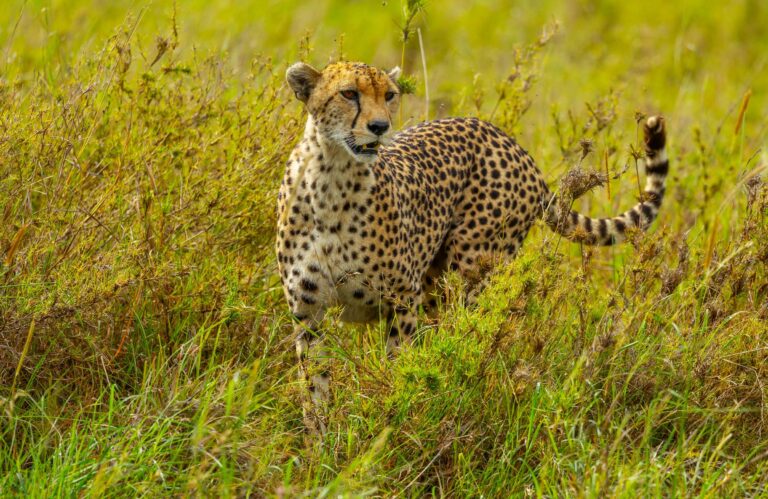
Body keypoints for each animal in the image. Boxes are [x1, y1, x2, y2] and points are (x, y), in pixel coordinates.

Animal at [276, 61, 669, 432]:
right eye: (348, 94)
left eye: (389, 95)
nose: (379, 126)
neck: (333, 177)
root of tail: (509, 141)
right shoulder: (308, 309)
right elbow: (313, 385)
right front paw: (320, 442)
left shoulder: (402, 299)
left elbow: (398, 366)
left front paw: (394, 417)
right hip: (437, 287)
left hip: (469, 275)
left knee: (468, 340)